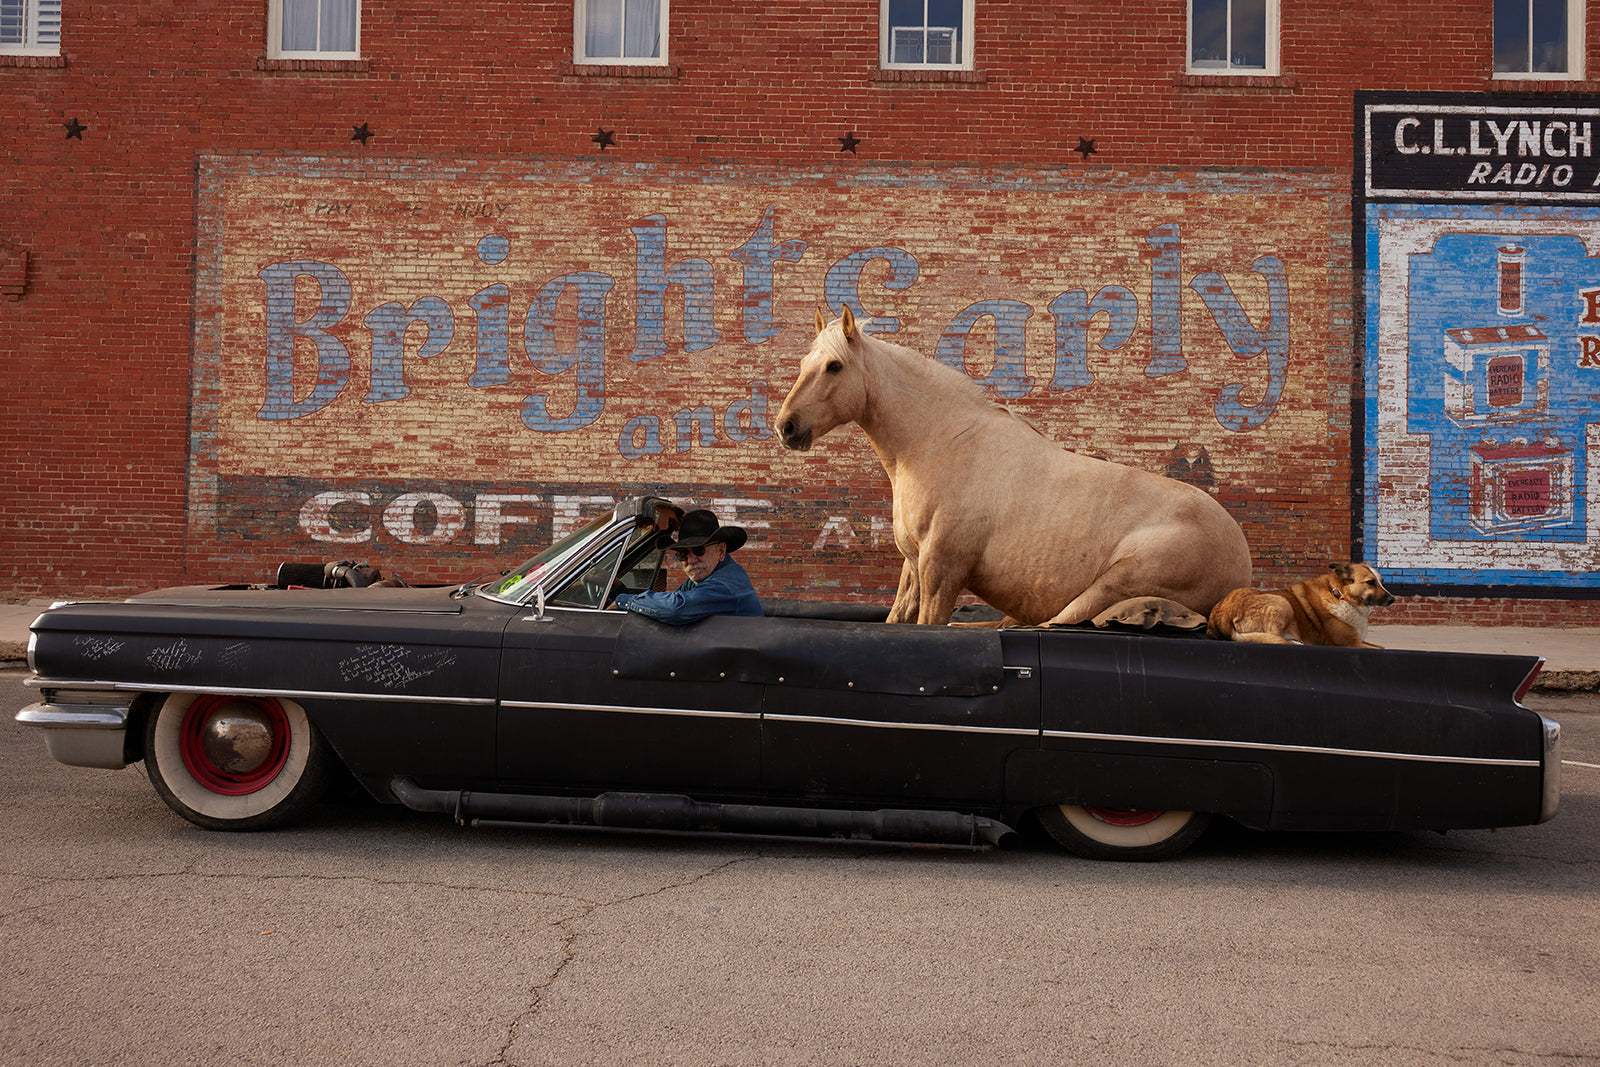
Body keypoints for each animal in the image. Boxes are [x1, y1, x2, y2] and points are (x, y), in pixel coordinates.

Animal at [776, 307, 1254, 626]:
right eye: (802, 365)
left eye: (834, 366)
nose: (786, 426)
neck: (938, 441)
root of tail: (1241, 563)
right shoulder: (915, 566)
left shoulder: (941, 570)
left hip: (1115, 583)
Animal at [1207, 562, 1396, 648]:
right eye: (1370, 582)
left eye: (1381, 581)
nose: (1393, 599)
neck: (1340, 596)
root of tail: (1220, 615)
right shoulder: (1351, 644)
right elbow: (1383, 647)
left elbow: (1381, 646)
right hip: (1282, 602)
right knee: (1271, 638)